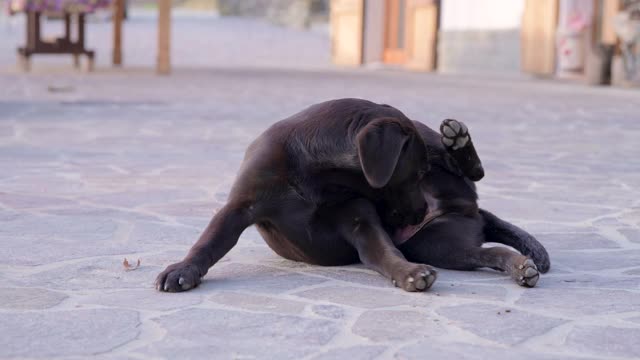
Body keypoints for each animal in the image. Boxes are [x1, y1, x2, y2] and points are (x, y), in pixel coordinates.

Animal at [156, 97, 438, 292]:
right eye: (420, 173)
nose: (424, 211)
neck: (316, 175)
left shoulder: (361, 220)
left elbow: (386, 251)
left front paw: (409, 271)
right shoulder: (239, 207)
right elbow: (208, 242)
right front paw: (183, 269)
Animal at [396, 119, 552, 288]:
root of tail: (466, 207)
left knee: (470, 170)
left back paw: (458, 141)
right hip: (442, 248)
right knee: (489, 253)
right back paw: (520, 268)